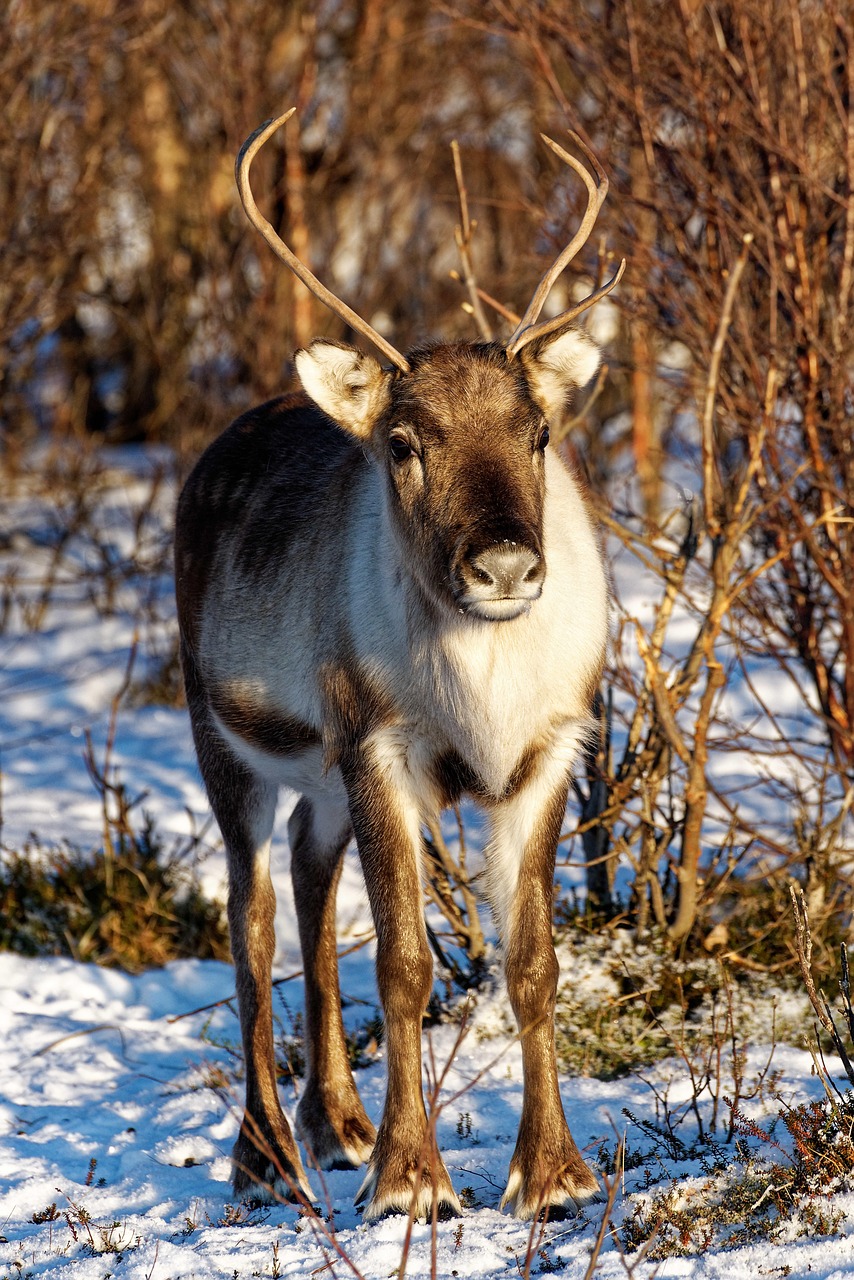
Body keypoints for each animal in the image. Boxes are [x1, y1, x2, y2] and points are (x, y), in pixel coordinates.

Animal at [174, 109, 624, 1223]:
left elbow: (532, 961)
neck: (479, 700)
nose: (503, 564)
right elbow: (407, 966)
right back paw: (266, 1158)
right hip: (225, 741)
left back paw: (333, 1122)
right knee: (250, 927)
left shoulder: (551, 746)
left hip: (320, 776)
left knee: (306, 870)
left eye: (538, 431)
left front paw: (552, 1175)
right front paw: (412, 1180)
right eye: (405, 442)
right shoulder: (379, 741)